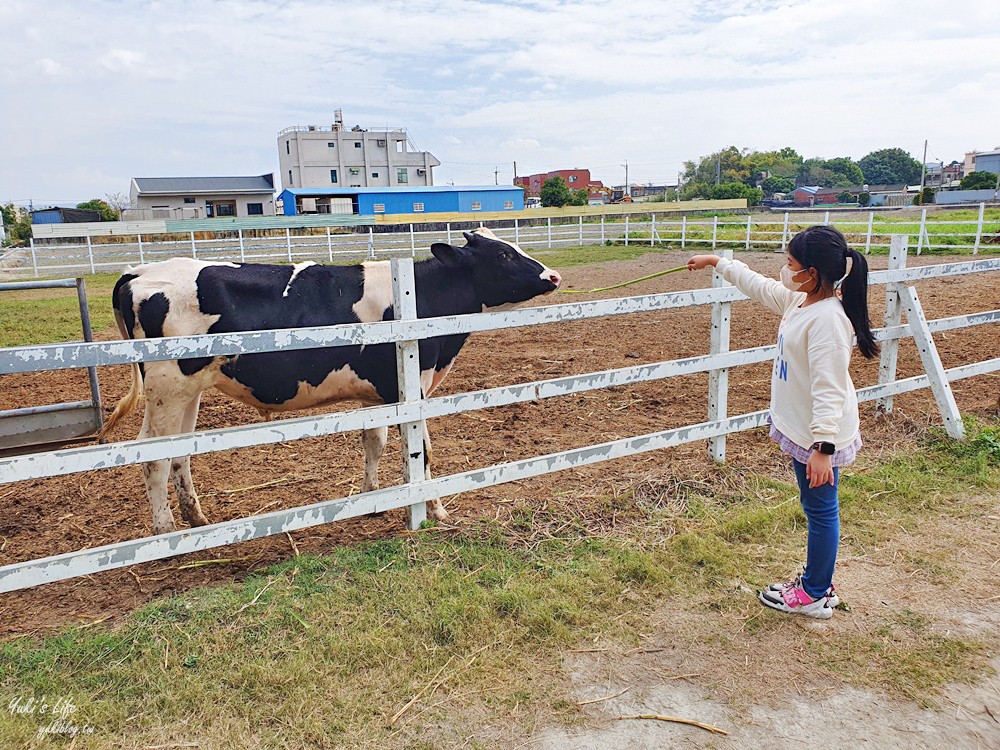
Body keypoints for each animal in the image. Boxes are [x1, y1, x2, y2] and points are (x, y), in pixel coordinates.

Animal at [100, 228, 564, 536]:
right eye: (503, 255)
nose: (554, 276)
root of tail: (138, 272)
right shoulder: (411, 388)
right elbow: (423, 452)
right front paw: (435, 509)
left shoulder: (378, 392)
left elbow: (374, 442)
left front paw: (373, 500)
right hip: (167, 389)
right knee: (152, 457)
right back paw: (165, 533)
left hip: (188, 392)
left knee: (178, 453)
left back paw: (196, 519)